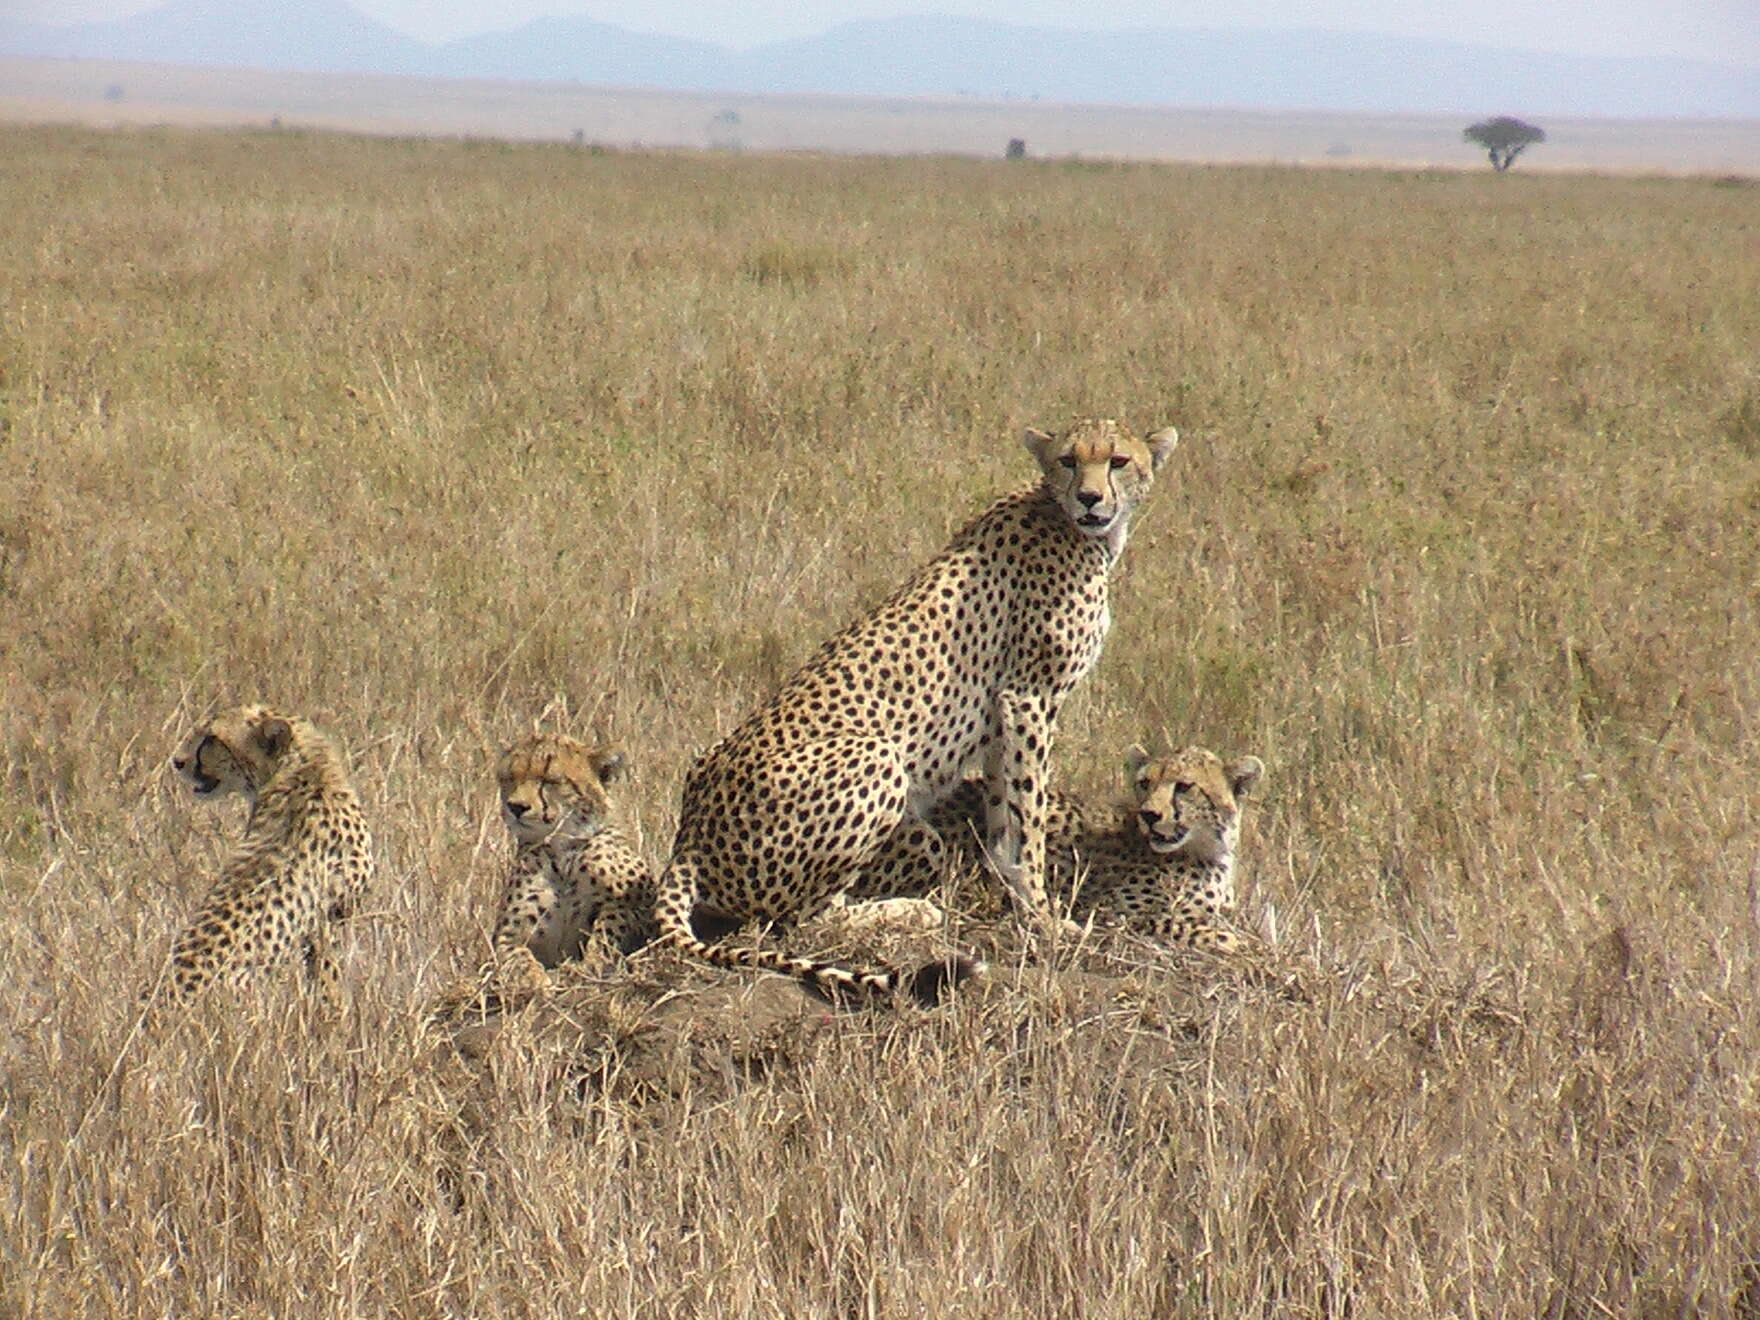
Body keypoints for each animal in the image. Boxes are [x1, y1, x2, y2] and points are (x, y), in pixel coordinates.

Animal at [485, 735, 658, 992]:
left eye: (550, 780)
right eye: (509, 778)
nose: (515, 807)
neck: (561, 852)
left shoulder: (635, 904)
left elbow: (608, 930)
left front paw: (590, 964)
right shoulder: (508, 934)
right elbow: (515, 955)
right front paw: (532, 977)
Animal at [654, 418, 1175, 999]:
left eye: (1118, 461)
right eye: (1068, 460)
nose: (1089, 498)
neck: (1073, 526)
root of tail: (687, 838)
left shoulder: (1004, 717)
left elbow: (1006, 817)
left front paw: (1013, 900)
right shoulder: (1029, 698)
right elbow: (1029, 817)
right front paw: (1043, 917)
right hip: (874, 758)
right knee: (797, 919)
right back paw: (909, 912)